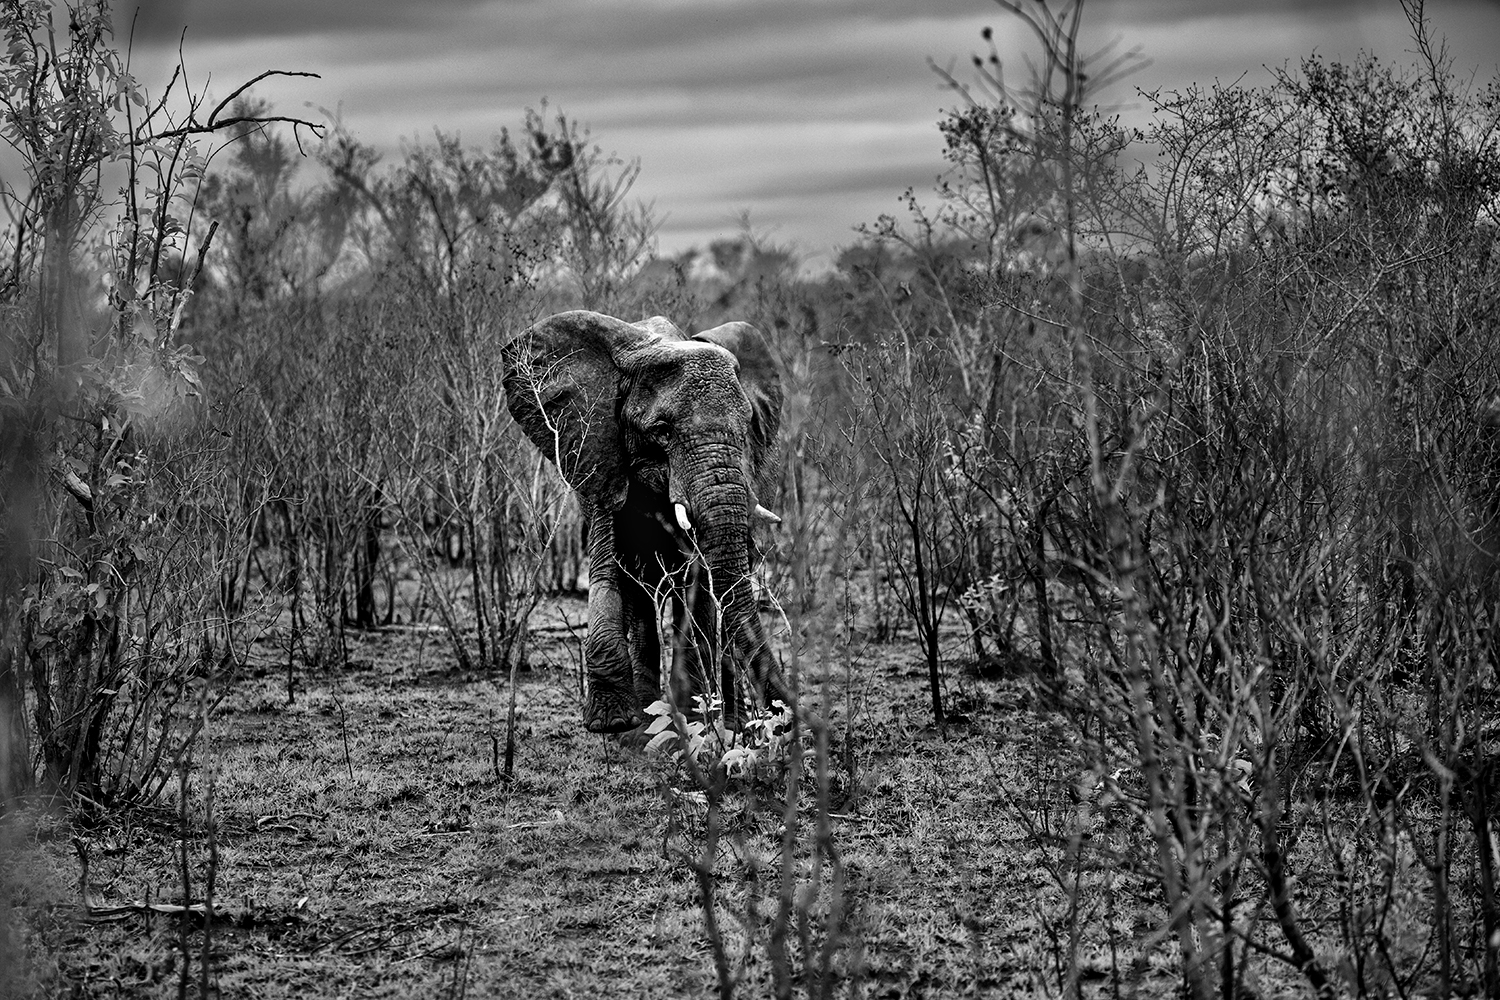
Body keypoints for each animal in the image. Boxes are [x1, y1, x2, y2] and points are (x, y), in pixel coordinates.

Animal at [501, 310, 786, 734]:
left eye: (746, 430)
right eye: (661, 432)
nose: (783, 719)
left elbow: (700, 585)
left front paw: (695, 716)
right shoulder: (599, 455)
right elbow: (608, 571)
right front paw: (613, 722)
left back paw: (724, 722)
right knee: (638, 591)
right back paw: (652, 709)